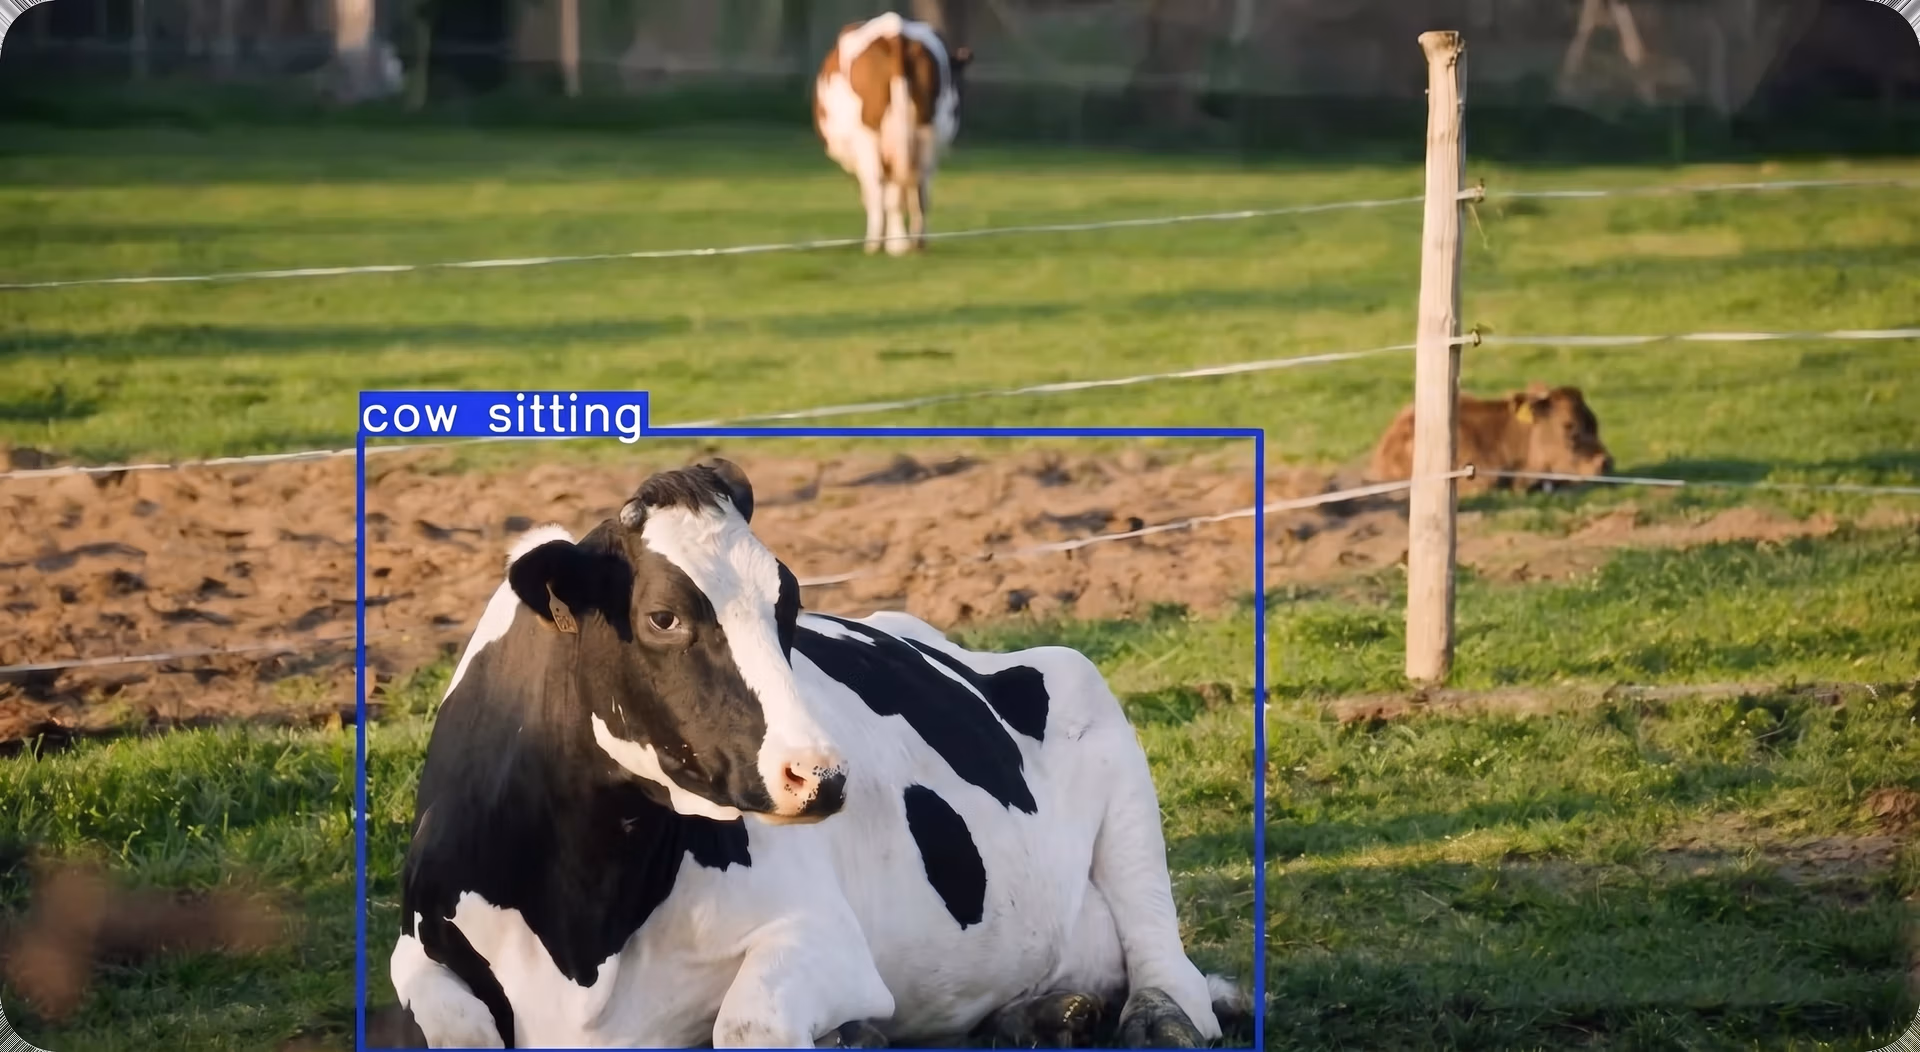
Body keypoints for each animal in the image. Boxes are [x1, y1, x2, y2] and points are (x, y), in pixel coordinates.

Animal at [388, 459, 1244, 1048]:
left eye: (789, 601)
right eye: (662, 616)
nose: (822, 776)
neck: (584, 925)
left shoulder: (824, 936)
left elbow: (749, 1024)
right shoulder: (415, 952)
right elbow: (456, 1025)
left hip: (1089, 700)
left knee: (1161, 952)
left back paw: (1161, 1013)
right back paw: (1045, 1012)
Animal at [814, 14, 970, 256]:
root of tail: (896, 33)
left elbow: (877, 194)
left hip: (867, 137)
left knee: (879, 187)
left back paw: (877, 244)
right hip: (928, 135)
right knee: (920, 187)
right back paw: (915, 243)